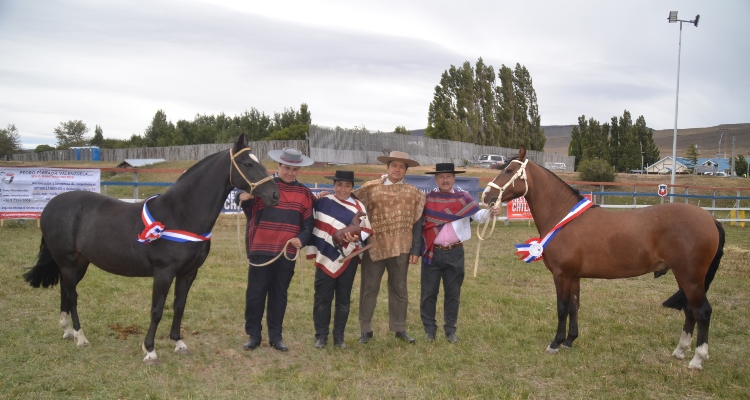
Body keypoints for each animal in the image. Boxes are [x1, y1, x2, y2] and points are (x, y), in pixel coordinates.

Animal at [25, 134, 282, 362]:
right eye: (247, 163)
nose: (274, 195)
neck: (181, 214)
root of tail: (50, 205)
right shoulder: (163, 272)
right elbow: (157, 309)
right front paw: (149, 350)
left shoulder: (188, 273)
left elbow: (179, 306)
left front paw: (178, 342)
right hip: (68, 262)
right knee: (73, 296)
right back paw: (80, 337)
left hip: (79, 263)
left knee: (65, 291)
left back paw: (67, 331)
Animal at [484, 146, 724, 368]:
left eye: (509, 170)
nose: (487, 195)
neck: (563, 217)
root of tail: (710, 219)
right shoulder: (574, 276)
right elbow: (574, 306)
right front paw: (570, 341)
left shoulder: (562, 275)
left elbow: (562, 308)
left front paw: (555, 343)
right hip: (684, 278)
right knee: (690, 310)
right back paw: (679, 351)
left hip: (690, 278)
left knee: (702, 311)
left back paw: (697, 359)